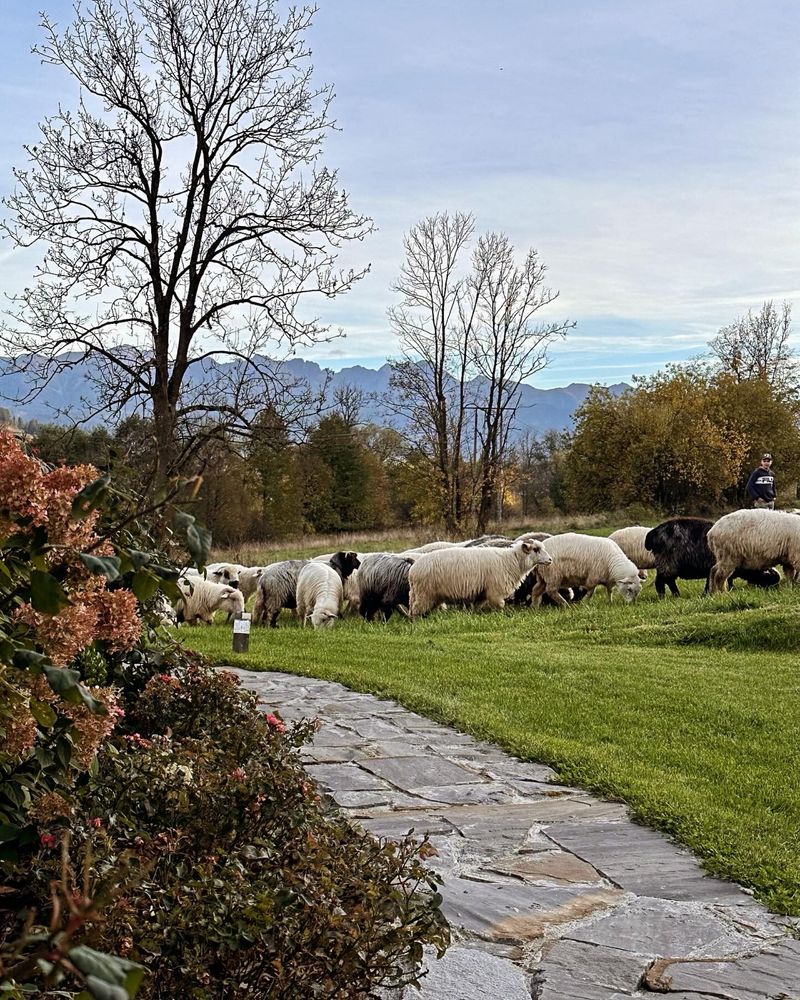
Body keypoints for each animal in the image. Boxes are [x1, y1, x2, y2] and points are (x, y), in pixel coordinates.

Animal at [410, 540, 552, 616]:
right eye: (536, 549)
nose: (550, 560)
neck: (511, 561)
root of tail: (413, 570)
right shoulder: (495, 591)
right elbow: (500, 605)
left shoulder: (482, 591)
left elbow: (477, 606)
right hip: (424, 593)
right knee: (416, 610)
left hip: (428, 595)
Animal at [644, 520, 780, 596]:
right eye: (767, 576)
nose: (776, 589)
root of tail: (652, 535)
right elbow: (714, 580)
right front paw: (710, 593)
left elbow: (724, 580)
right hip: (668, 563)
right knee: (664, 581)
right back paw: (668, 596)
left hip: (665, 564)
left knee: (665, 581)